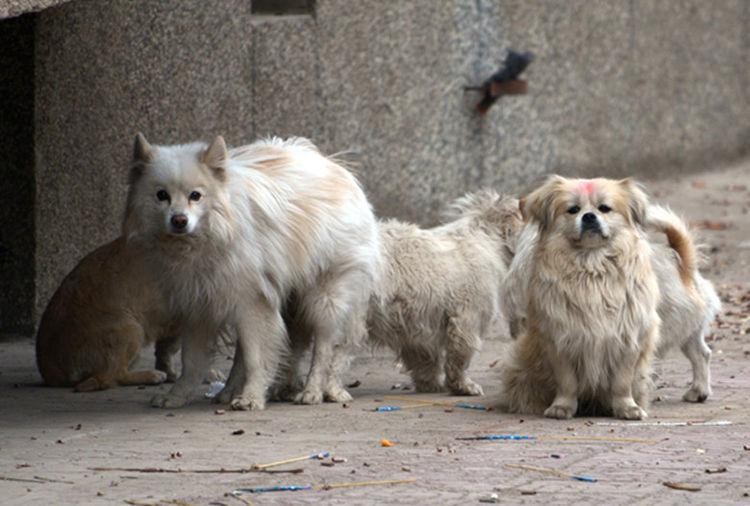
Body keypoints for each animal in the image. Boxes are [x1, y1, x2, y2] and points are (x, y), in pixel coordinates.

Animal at [37, 237, 181, 392]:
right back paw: (152, 376)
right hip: (131, 329)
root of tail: (52, 372)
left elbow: (166, 349)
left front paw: (170, 372)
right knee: (111, 376)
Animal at [126, 133, 382, 412]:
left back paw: (311, 391)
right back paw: (234, 392)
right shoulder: (200, 306)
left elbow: (257, 358)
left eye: (196, 195)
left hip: (324, 298)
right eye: (161, 195)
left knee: (323, 347)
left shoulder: (253, 303)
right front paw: (177, 395)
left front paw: (251, 397)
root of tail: (337, 168)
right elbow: (192, 361)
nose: (179, 220)